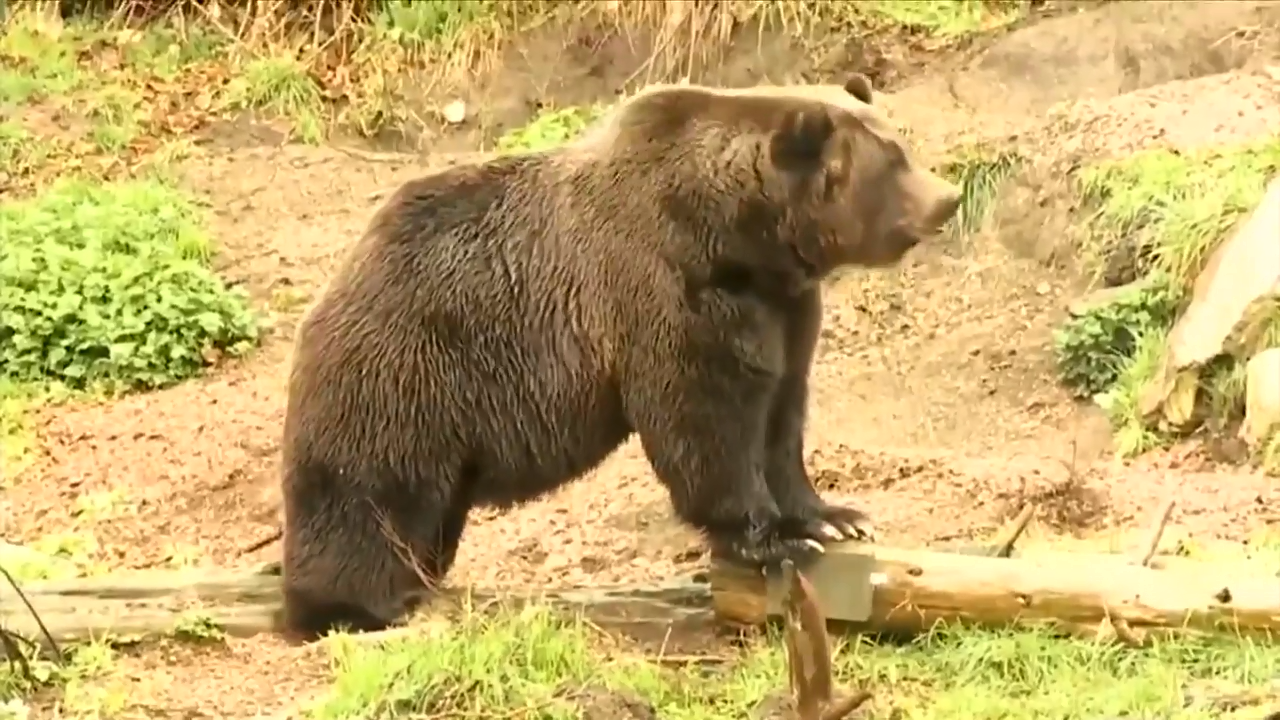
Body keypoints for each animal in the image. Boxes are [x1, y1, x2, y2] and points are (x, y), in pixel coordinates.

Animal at [277, 73, 962, 641]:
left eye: (900, 143)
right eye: (892, 162)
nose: (948, 196)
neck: (742, 235)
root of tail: (339, 277)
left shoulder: (784, 307)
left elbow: (780, 412)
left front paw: (832, 518)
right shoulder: (669, 286)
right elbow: (706, 418)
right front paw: (769, 539)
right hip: (406, 371)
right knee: (370, 494)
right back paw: (359, 605)